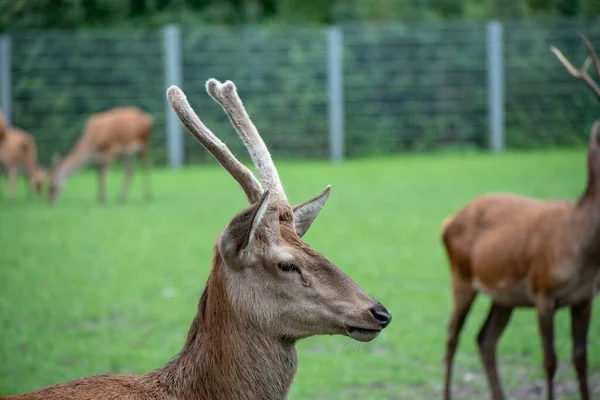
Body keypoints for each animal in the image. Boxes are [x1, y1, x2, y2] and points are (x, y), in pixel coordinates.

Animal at [440, 33, 600, 400]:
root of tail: (447, 221)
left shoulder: (585, 297)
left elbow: (581, 359)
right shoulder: (543, 291)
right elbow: (550, 361)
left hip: (504, 295)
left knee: (485, 339)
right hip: (462, 277)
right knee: (453, 337)